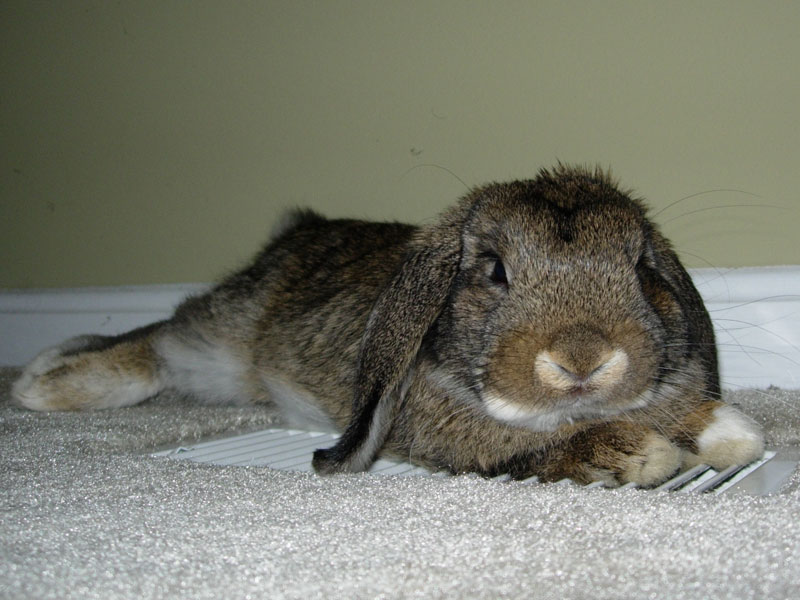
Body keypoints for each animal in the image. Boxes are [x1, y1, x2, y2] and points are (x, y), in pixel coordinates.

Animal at [12, 165, 764, 488]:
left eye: (640, 267)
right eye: (493, 270)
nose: (584, 359)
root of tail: (294, 236)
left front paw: (731, 432)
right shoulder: (444, 430)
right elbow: (520, 446)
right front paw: (636, 453)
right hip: (222, 344)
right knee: (155, 342)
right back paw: (41, 385)